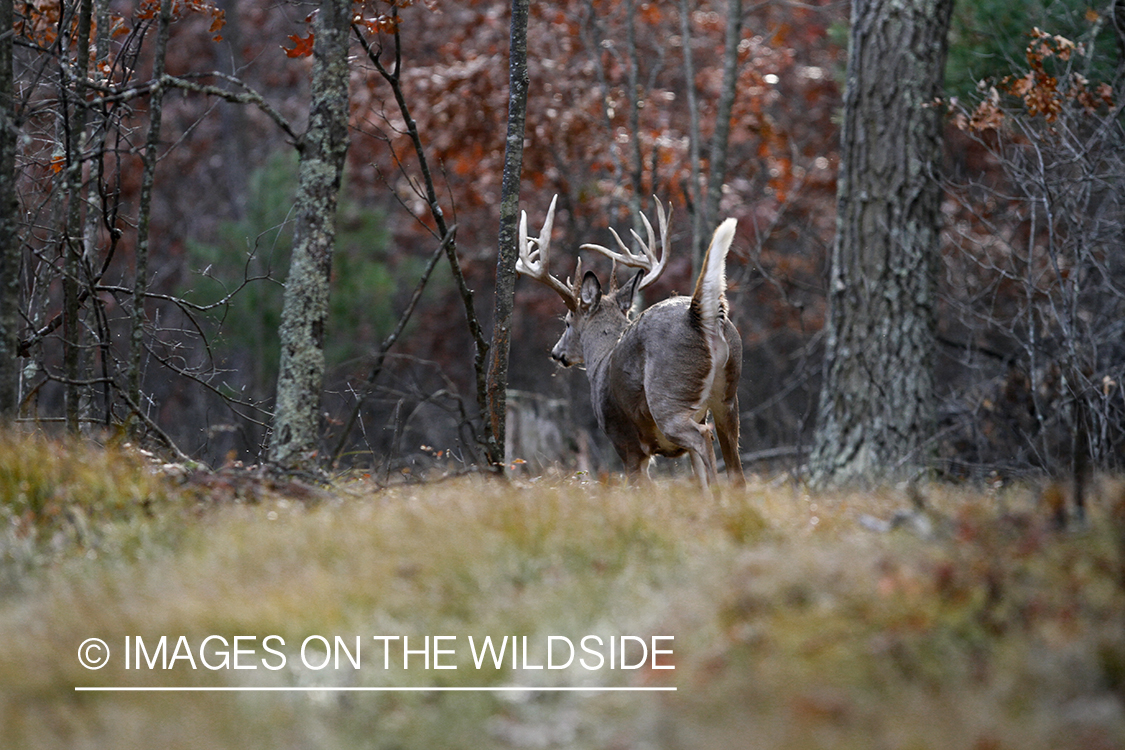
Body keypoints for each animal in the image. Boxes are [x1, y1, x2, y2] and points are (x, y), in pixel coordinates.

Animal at [517, 196, 747, 490]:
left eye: (567, 321)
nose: (557, 353)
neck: (601, 361)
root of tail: (697, 316)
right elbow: (699, 480)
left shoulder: (625, 443)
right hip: (727, 396)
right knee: (736, 470)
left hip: (668, 397)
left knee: (703, 438)